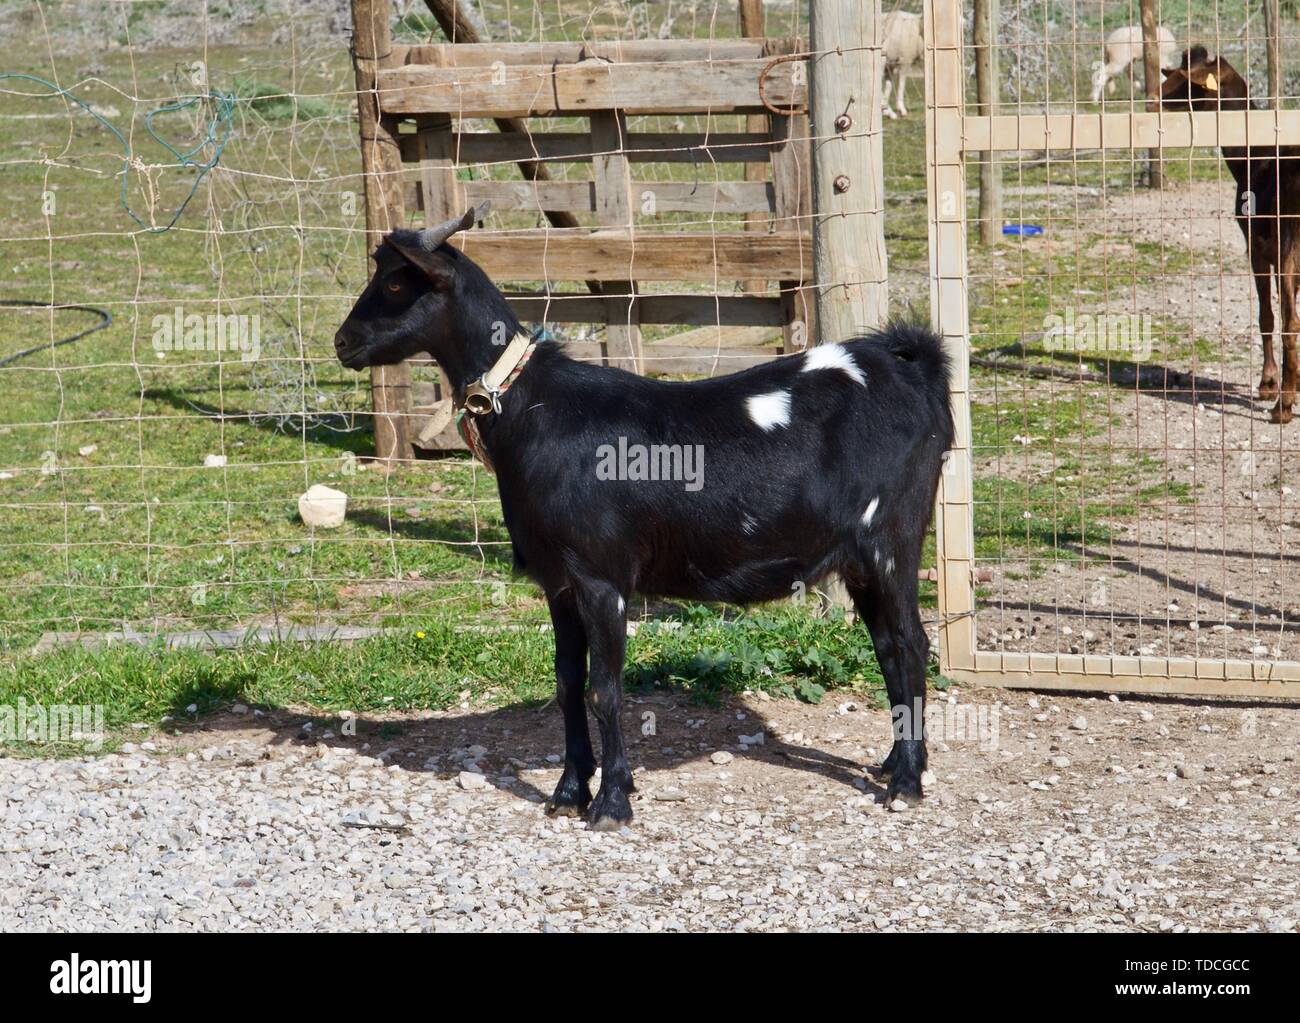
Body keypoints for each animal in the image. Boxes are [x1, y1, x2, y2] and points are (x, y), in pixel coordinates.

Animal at [333, 202, 954, 828]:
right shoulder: (557, 580)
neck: (536, 409)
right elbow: (567, 683)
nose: (342, 342)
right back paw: (894, 763)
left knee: (911, 644)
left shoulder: (602, 576)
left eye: (396, 282)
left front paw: (611, 801)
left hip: (891, 536)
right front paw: (567, 791)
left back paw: (906, 782)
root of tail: (909, 368)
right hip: (857, 557)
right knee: (887, 647)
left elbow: (605, 690)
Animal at [1158, 47, 1300, 423]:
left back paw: (1282, 407)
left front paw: (1269, 384)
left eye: (1188, 84)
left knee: (1289, 321)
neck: (1248, 160)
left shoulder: (1258, 245)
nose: (1155, 101)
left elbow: (1267, 316)